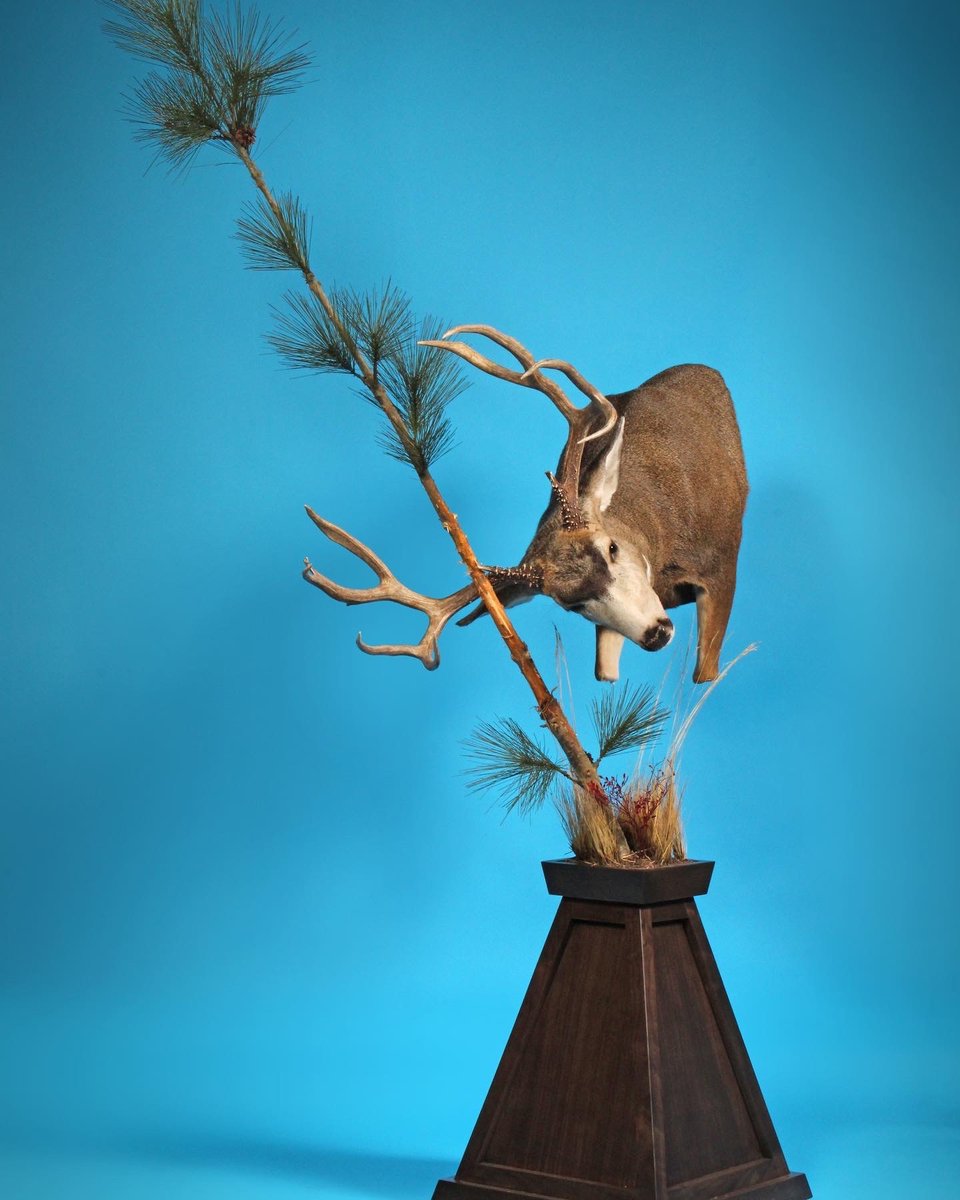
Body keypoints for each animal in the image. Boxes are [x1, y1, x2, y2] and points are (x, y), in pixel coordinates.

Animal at [302, 325, 747, 684]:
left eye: (612, 548)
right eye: (572, 604)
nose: (657, 634)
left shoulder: (722, 564)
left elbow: (704, 675)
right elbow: (606, 674)